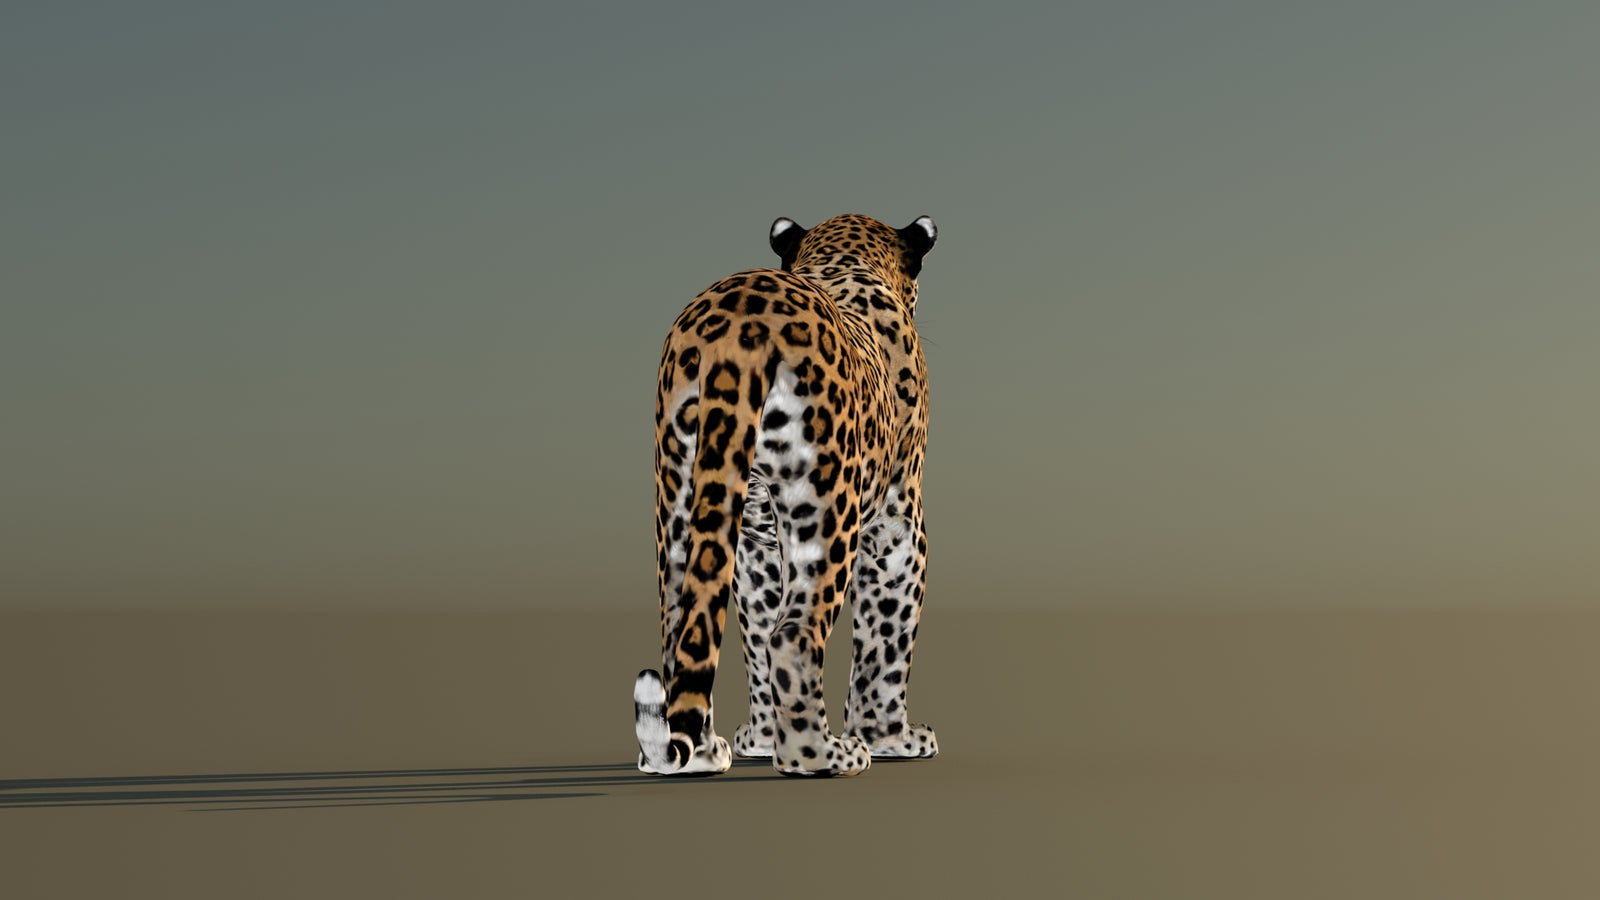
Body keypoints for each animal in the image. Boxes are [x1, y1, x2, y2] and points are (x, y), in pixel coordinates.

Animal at [633, 213, 940, 777]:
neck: (845, 260)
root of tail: (734, 337)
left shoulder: (755, 544)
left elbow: (753, 626)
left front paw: (760, 737)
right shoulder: (897, 523)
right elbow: (887, 636)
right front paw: (891, 738)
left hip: (683, 491)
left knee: (683, 630)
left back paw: (700, 754)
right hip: (826, 502)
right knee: (793, 636)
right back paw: (826, 755)